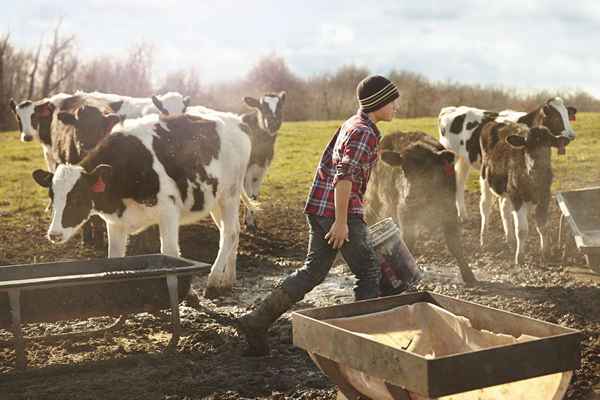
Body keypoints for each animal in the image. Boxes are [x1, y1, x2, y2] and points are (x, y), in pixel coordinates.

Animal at [32, 111, 255, 298]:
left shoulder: (168, 211)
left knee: (230, 233)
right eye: (52, 197)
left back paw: (215, 280)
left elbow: (170, 254)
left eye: (77, 198)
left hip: (230, 194)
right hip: (215, 199)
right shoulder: (115, 223)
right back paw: (229, 280)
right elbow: (114, 258)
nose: (54, 234)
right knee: (232, 231)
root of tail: (236, 120)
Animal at [186, 91, 288, 231]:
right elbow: (248, 194)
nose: (273, 124)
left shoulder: (262, 168)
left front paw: (252, 221)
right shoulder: (247, 170)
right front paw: (248, 222)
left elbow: (254, 196)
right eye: (262, 107)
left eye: (280, 106)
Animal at [364, 131, 476, 284]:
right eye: (403, 169)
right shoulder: (405, 213)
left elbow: (454, 245)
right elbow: (408, 241)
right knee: (369, 214)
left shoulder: (449, 210)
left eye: (427, 171)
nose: (410, 197)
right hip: (373, 194)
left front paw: (469, 275)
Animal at [440, 98, 576, 220]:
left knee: (460, 182)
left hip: (464, 159)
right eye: (556, 117)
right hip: (453, 155)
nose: (571, 135)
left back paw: (463, 214)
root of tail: (450, 109)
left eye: (567, 116)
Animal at [478, 122, 568, 266]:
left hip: (507, 189)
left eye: (548, 144)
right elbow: (521, 230)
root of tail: (496, 122)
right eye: (527, 145)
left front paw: (546, 253)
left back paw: (510, 241)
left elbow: (543, 226)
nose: (536, 166)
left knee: (504, 208)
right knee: (485, 206)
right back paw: (484, 240)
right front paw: (519, 257)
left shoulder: (545, 195)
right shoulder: (517, 196)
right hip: (485, 177)